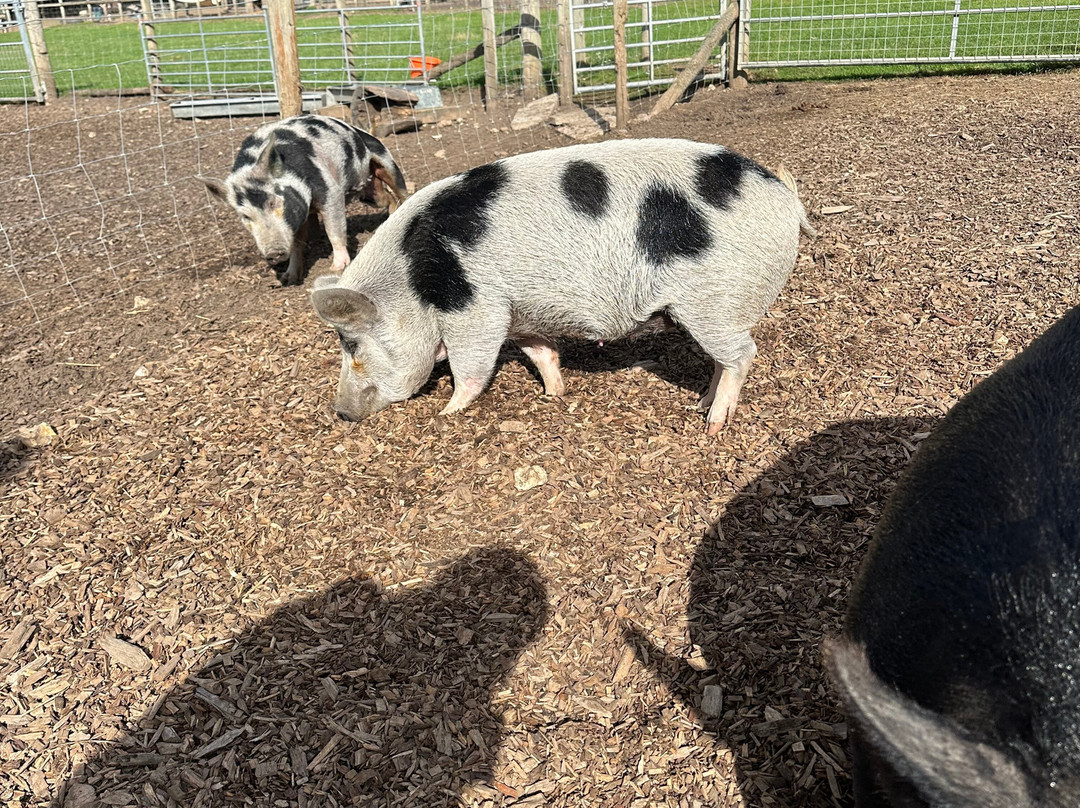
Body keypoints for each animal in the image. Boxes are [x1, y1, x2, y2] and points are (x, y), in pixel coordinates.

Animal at [199, 114, 408, 286]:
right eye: (245, 216)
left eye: (274, 202)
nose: (273, 253)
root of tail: (361, 131)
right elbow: (297, 244)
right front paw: (288, 279)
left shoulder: (331, 191)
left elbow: (334, 229)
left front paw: (336, 268)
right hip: (370, 194)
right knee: (387, 198)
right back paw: (391, 216)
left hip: (386, 161)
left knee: (401, 191)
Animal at [309, 138, 815, 433]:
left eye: (351, 345)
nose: (340, 412)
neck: (414, 284)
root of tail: (787, 199)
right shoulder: (519, 313)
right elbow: (539, 352)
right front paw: (553, 394)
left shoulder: (475, 308)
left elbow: (470, 367)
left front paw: (447, 413)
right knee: (722, 360)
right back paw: (699, 405)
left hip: (715, 300)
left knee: (743, 355)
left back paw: (713, 424)